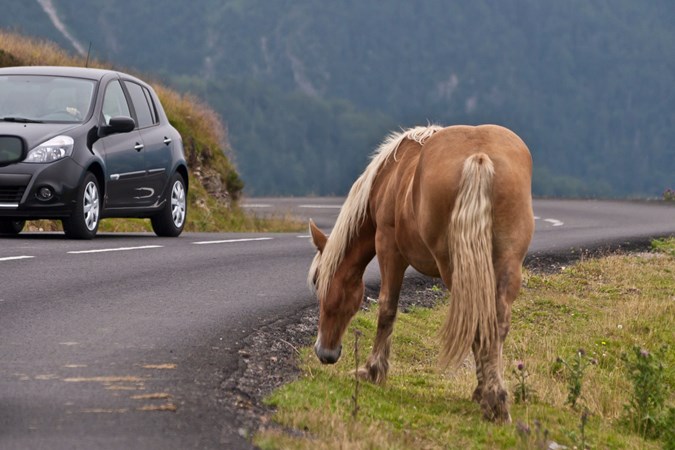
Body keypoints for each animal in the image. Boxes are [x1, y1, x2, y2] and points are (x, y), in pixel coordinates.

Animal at [308, 124, 536, 422]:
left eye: (317, 282)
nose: (325, 353)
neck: (389, 175)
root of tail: (479, 157)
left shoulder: (389, 248)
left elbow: (387, 309)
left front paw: (373, 371)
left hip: (455, 269)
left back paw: (492, 400)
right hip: (505, 264)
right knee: (494, 322)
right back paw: (492, 396)